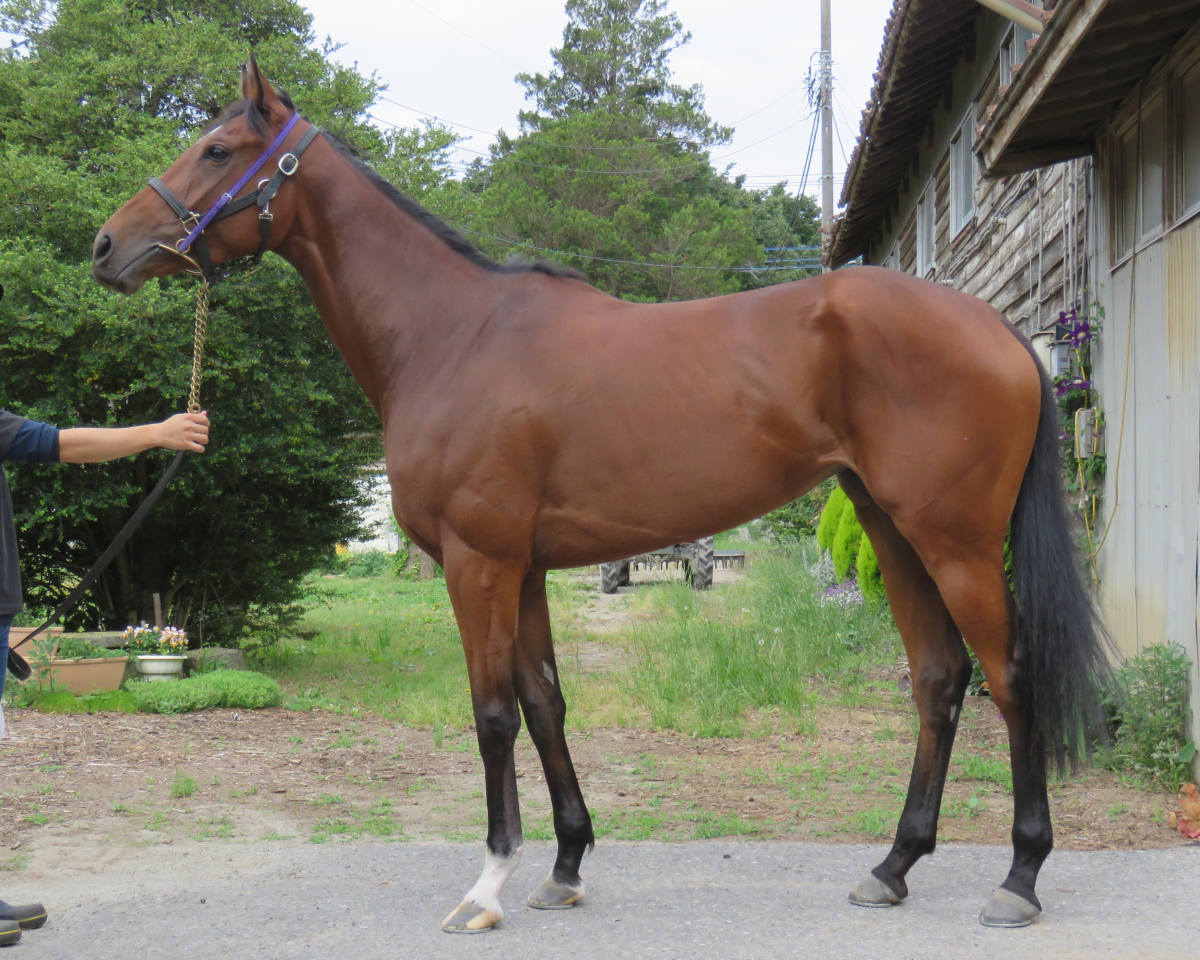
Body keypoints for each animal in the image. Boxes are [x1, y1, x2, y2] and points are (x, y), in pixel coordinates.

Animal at [92, 61, 1108, 932]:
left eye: (217, 149)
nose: (107, 246)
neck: (451, 336)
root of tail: (996, 330)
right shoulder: (528, 567)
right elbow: (545, 702)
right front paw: (565, 866)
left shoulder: (478, 562)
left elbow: (492, 713)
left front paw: (489, 884)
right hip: (892, 532)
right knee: (939, 678)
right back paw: (892, 866)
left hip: (956, 539)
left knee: (1011, 676)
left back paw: (1019, 878)